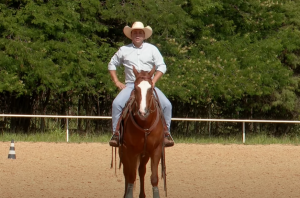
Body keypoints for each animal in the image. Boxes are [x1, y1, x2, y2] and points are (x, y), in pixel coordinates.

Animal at [119, 66, 168, 198]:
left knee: (141, 171)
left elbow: (154, 177)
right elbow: (131, 176)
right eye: (136, 88)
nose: (142, 112)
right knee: (127, 172)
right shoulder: (130, 150)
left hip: (144, 154)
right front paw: (128, 195)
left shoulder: (156, 150)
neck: (145, 124)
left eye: (150, 88)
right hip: (123, 151)